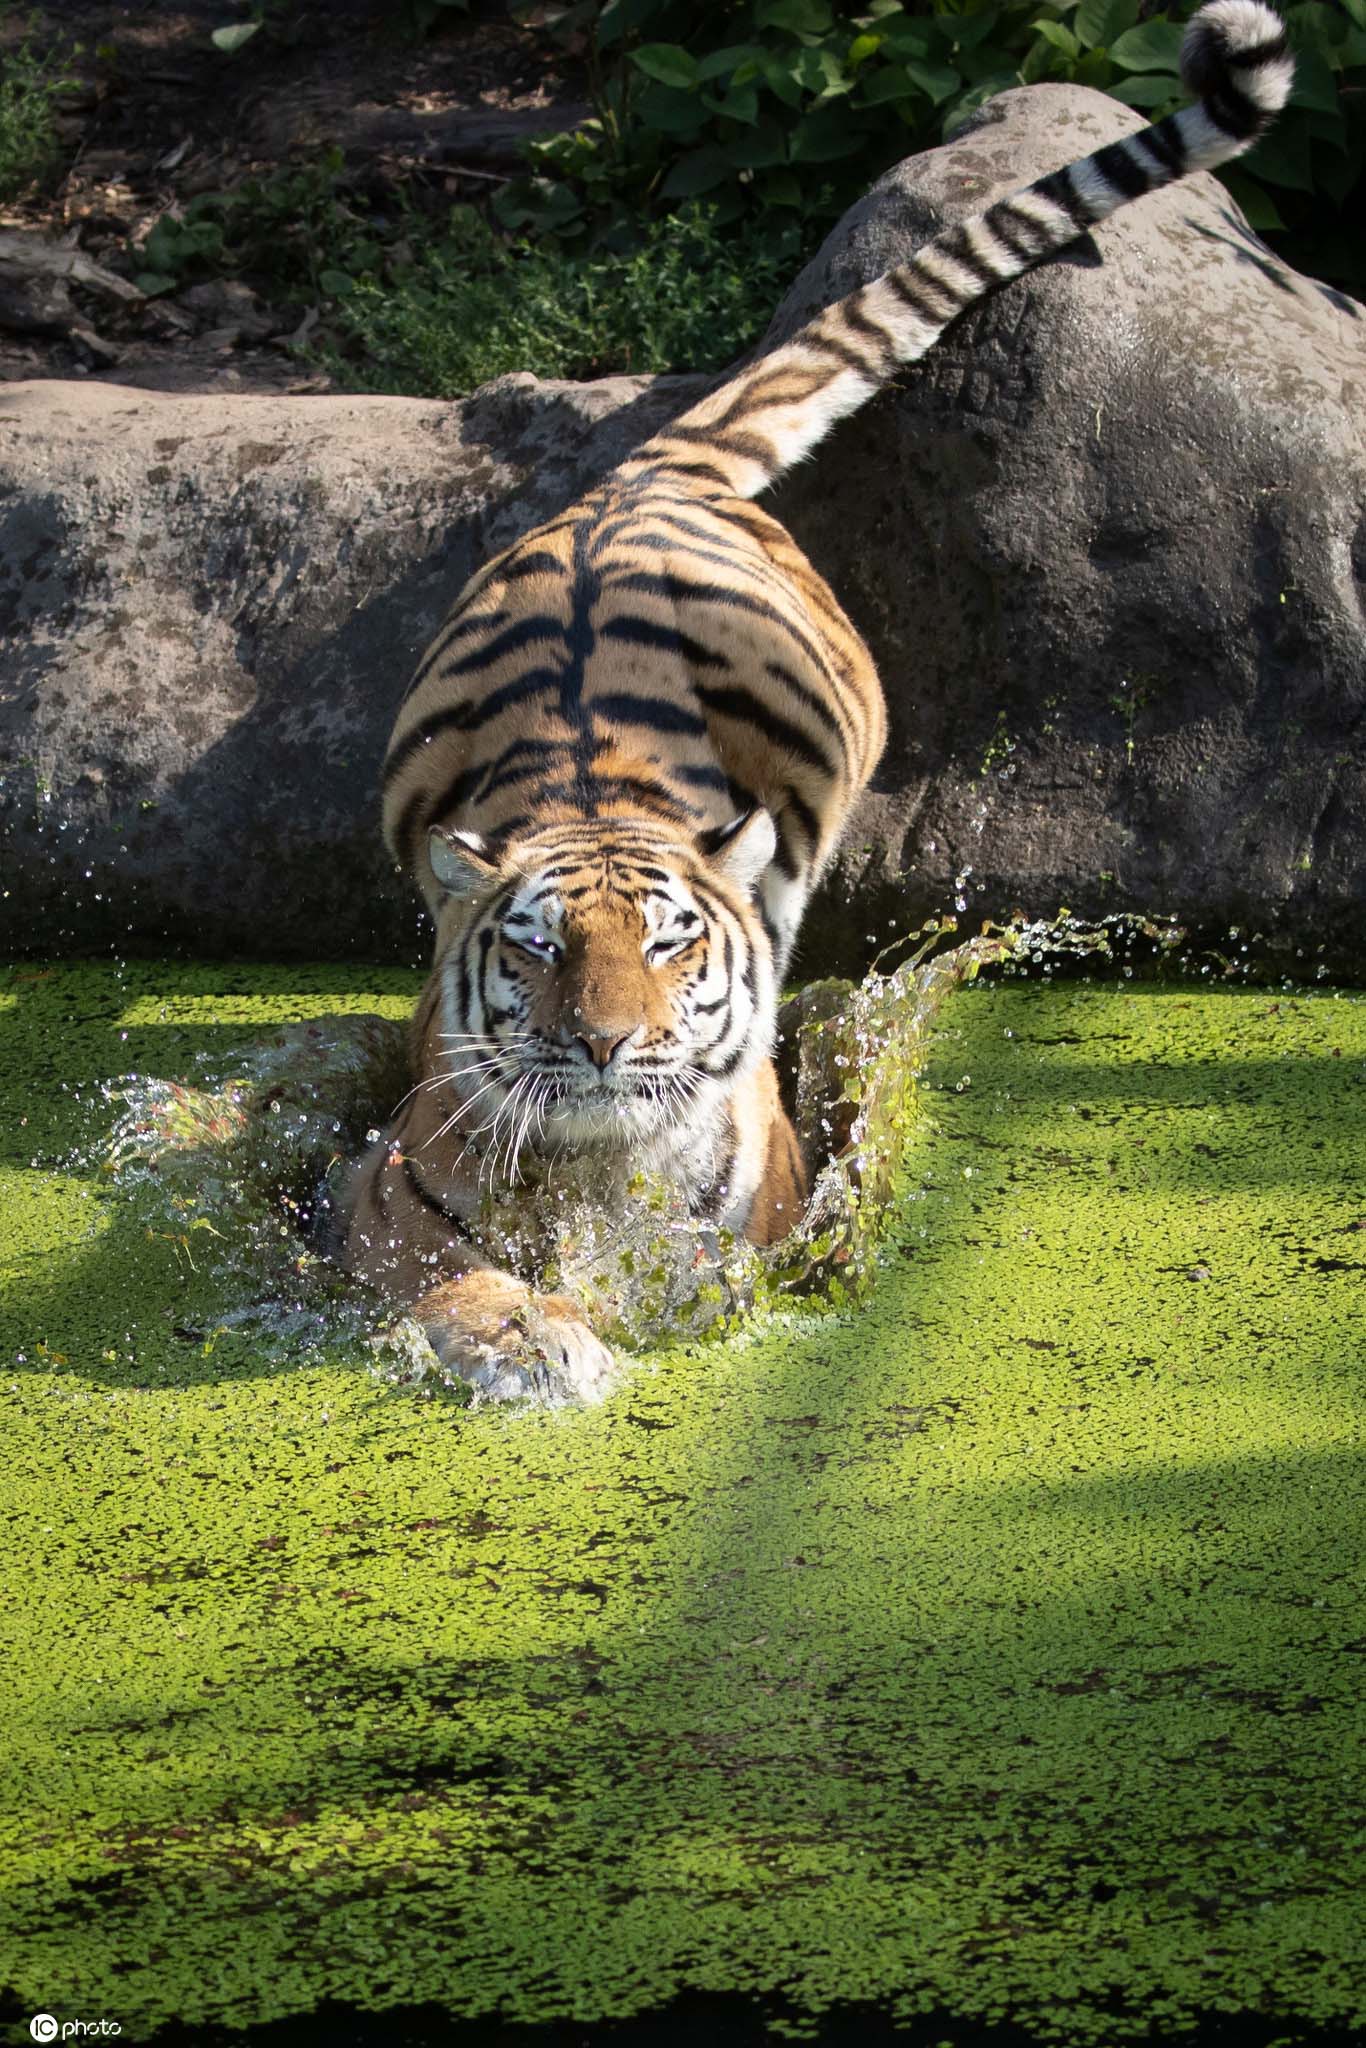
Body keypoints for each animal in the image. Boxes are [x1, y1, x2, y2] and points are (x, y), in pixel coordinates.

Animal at [342, 0, 1294, 1400]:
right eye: (538, 946)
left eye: (667, 944)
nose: (605, 1046)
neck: (595, 1164)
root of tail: (638, 480)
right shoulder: (380, 1189)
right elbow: (453, 1276)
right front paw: (535, 1339)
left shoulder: (769, 1232)